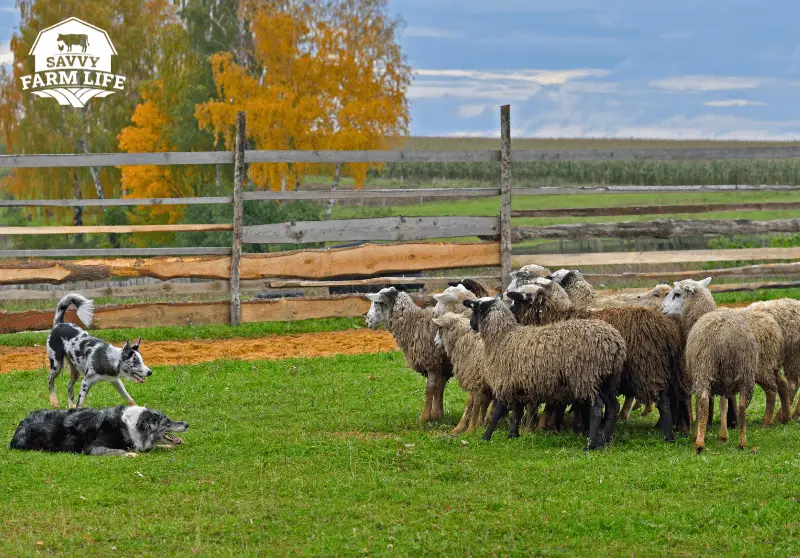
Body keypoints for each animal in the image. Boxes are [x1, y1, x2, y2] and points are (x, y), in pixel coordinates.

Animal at [366, 287, 453, 423]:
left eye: (376, 303)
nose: (367, 320)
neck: (415, 323)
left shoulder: (431, 361)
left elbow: (430, 389)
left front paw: (424, 418)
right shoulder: (441, 366)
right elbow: (439, 389)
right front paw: (437, 414)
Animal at [463, 295, 627, 451]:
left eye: (474, 309)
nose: (471, 325)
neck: (501, 338)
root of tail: (614, 342)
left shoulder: (504, 382)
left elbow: (498, 411)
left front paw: (486, 436)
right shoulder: (517, 383)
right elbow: (517, 411)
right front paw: (513, 435)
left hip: (586, 376)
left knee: (596, 408)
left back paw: (590, 445)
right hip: (606, 379)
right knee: (613, 407)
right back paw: (603, 440)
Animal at [507, 279, 689, 441]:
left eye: (517, 300)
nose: (508, 313)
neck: (555, 316)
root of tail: (667, 328)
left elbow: (559, 405)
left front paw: (555, 427)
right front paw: (578, 426)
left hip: (648, 366)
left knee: (664, 400)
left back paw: (668, 434)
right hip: (670, 369)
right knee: (678, 397)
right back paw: (676, 427)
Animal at [662, 278, 758, 453]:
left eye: (677, 294)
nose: (662, 308)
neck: (699, 315)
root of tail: (727, 337)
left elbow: (701, 405)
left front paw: (700, 432)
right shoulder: (724, 380)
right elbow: (724, 404)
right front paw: (724, 436)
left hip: (704, 367)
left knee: (704, 401)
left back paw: (699, 442)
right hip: (746, 370)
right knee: (742, 405)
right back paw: (742, 441)